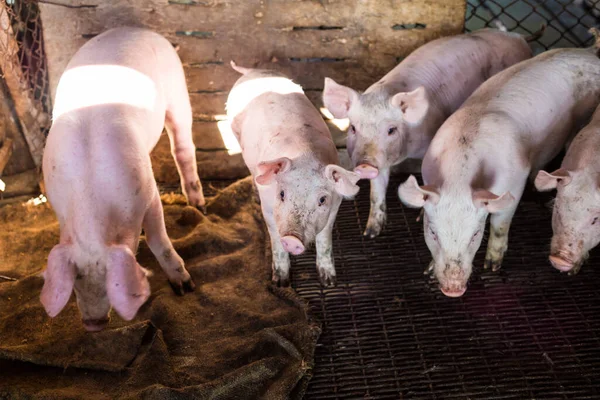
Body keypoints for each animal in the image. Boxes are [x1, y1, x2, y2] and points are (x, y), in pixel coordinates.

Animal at [41, 27, 204, 332]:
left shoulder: (150, 193)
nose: (94, 324)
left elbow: (158, 240)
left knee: (183, 146)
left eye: (109, 281)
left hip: (178, 90)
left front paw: (185, 287)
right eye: (76, 282)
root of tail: (141, 30)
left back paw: (199, 206)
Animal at [226, 61, 358, 288]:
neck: (305, 154)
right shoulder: (268, 207)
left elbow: (324, 240)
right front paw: (280, 282)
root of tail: (252, 71)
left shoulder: (335, 206)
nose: (292, 239)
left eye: (322, 199)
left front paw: (329, 281)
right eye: (281, 194)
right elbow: (275, 240)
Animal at [324, 30, 540, 241]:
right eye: (353, 128)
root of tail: (519, 37)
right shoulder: (382, 158)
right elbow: (377, 191)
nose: (364, 165)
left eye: (391, 130)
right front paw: (370, 234)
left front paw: (420, 216)